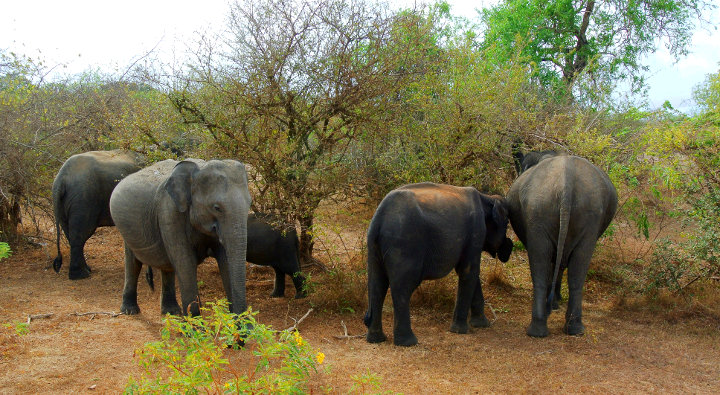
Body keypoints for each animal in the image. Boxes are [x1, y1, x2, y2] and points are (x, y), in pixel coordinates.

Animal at [51, 150, 145, 280]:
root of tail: (61, 179)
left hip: (64, 204)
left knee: (69, 233)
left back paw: (86, 270)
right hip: (83, 200)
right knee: (80, 235)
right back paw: (81, 275)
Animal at [108, 159, 252, 318]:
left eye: (250, 204)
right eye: (217, 208)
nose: (241, 319)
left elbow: (225, 260)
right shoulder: (169, 213)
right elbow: (185, 262)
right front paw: (195, 323)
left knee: (166, 264)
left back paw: (171, 312)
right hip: (125, 229)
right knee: (133, 263)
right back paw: (130, 310)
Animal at [362, 183, 516, 346]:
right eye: (507, 224)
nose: (509, 249)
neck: (487, 197)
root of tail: (379, 218)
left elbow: (469, 272)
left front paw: (481, 325)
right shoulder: (476, 231)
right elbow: (469, 271)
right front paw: (460, 331)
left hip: (375, 246)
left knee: (377, 285)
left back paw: (376, 339)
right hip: (404, 243)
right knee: (403, 287)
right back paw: (408, 342)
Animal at [506, 152, 620, 338]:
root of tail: (567, 183)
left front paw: (554, 304)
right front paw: (554, 304)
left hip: (546, 211)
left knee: (547, 264)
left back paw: (548, 328)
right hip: (568, 213)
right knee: (572, 270)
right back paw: (564, 327)